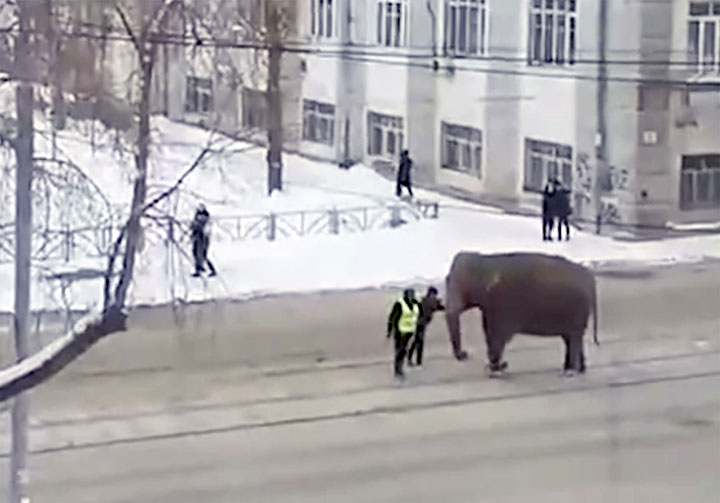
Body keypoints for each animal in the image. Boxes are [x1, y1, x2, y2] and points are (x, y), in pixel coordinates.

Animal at [444, 252, 596, 378]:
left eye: (462, 286)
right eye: (447, 279)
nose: (465, 354)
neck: (487, 260)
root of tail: (590, 278)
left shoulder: (505, 304)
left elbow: (499, 335)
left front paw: (495, 371)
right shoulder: (491, 307)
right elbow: (489, 333)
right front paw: (494, 368)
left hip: (577, 312)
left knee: (574, 338)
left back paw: (569, 372)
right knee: (571, 339)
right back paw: (579, 369)